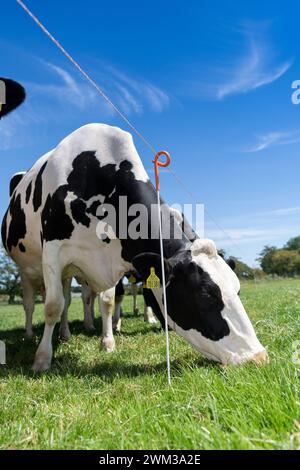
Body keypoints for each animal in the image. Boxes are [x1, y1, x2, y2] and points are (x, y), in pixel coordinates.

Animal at [1, 122, 266, 370]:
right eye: (205, 294)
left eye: (238, 289)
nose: (258, 356)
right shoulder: (54, 252)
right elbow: (52, 306)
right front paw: (42, 359)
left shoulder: (110, 257)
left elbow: (106, 301)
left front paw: (107, 342)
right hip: (27, 269)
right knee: (32, 303)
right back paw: (29, 335)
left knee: (69, 299)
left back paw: (66, 334)